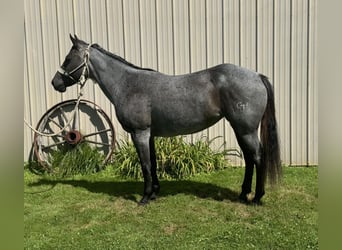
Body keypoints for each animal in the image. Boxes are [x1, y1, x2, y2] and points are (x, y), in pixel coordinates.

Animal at [50, 34, 280, 205]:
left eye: (68, 59)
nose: (55, 83)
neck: (127, 84)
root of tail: (257, 76)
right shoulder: (149, 135)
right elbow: (152, 163)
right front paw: (154, 193)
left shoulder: (140, 133)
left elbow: (144, 164)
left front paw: (144, 198)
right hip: (240, 129)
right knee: (249, 158)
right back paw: (243, 195)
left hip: (246, 130)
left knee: (257, 157)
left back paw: (257, 197)